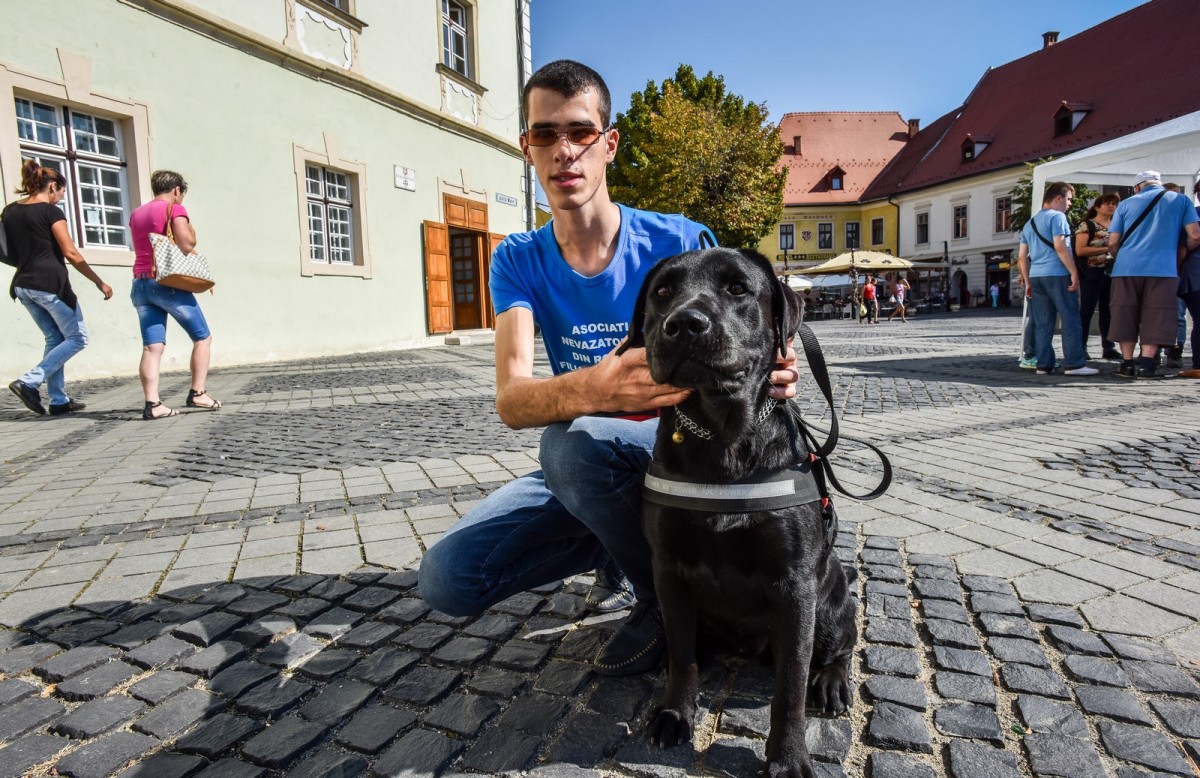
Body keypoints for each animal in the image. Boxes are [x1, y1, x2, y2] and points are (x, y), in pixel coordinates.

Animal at [619, 247, 854, 778]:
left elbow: (790, 685)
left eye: (738, 289)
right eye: (662, 292)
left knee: (840, 647)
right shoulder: (669, 570)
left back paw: (832, 684)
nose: (685, 324)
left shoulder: (794, 587)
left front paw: (788, 758)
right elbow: (682, 653)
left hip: (831, 605)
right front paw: (674, 713)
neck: (722, 439)